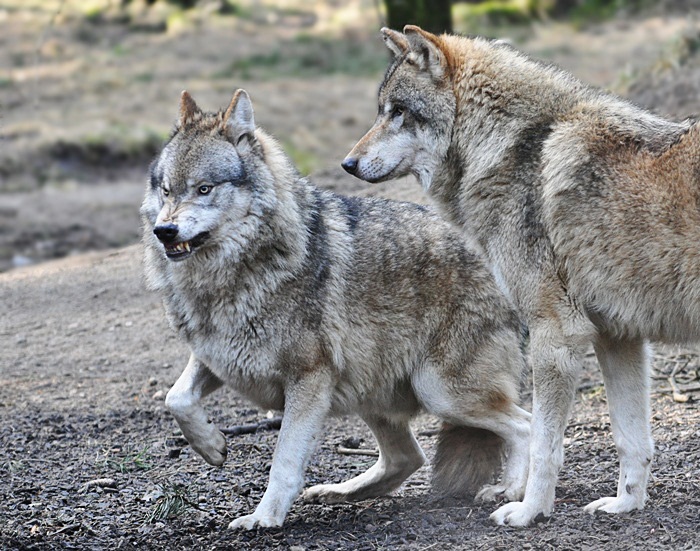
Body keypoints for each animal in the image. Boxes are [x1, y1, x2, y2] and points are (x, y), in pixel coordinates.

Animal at [139, 89, 528, 532]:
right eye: (166, 190)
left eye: (204, 188)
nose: (164, 231)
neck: (227, 278)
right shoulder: (215, 356)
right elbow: (176, 398)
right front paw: (212, 446)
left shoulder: (308, 379)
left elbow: (284, 461)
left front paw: (264, 517)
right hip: (376, 393)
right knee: (408, 458)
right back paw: (339, 492)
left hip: (441, 392)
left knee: (526, 425)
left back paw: (510, 491)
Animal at [342, 24, 700, 528]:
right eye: (381, 110)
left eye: (398, 112)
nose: (347, 165)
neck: (507, 148)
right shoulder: (618, 338)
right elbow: (631, 439)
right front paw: (626, 504)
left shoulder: (556, 335)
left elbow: (544, 443)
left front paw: (530, 510)